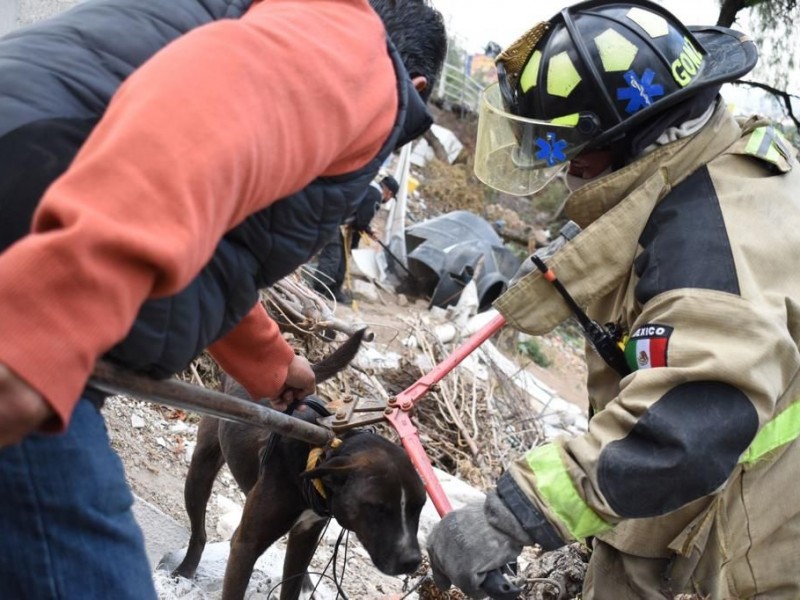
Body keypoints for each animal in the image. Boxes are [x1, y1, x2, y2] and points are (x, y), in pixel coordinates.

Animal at [173, 330, 428, 596]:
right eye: (377, 507)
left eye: (419, 506)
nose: (411, 561)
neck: (316, 454)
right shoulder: (245, 546)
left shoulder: (305, 537)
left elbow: (291, 585)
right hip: (201, 469)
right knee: (199, 532)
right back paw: (184, 570)